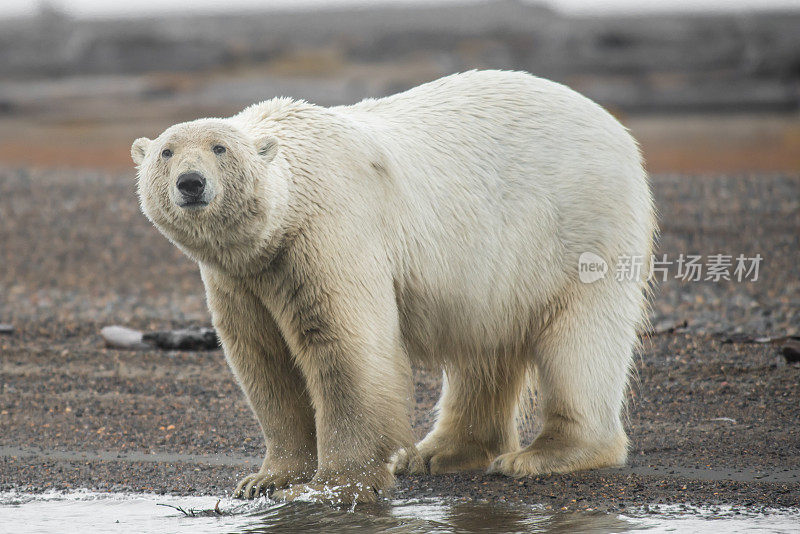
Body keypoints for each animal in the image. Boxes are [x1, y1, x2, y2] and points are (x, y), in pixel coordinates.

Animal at [133, 71, 656, 506]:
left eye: (220, 148)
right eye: (166, 152)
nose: (191, 182)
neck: (283, 221)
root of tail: (613, 125)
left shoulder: (328, 233)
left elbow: (346, 349)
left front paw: (330, 487)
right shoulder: (241, 278)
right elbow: (264, 359)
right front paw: (264, 480)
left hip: (580, 227)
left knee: (580, 340)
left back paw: (539, 455)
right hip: (496, 273)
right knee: (482, 351)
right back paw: (436, 452)